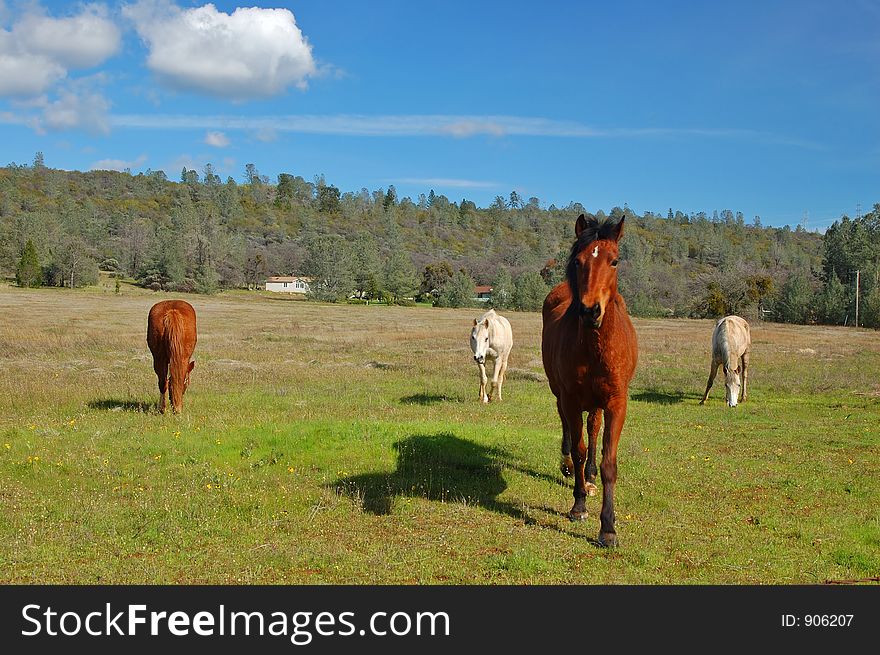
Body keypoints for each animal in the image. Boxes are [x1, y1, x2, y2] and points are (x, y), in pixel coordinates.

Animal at [540, 215, 636, 548]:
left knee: (594, 428)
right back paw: (568, 467)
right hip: (561, 396)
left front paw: (608, 527)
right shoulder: (570, 399)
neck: (595, 347)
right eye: (578, 261)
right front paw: (579, 504)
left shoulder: (617, 403)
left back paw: (591, 476)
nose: (590, 310)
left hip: (596, 402)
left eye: (614, 261)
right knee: (570, 431)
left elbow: (609, 461)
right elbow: (579, 449)